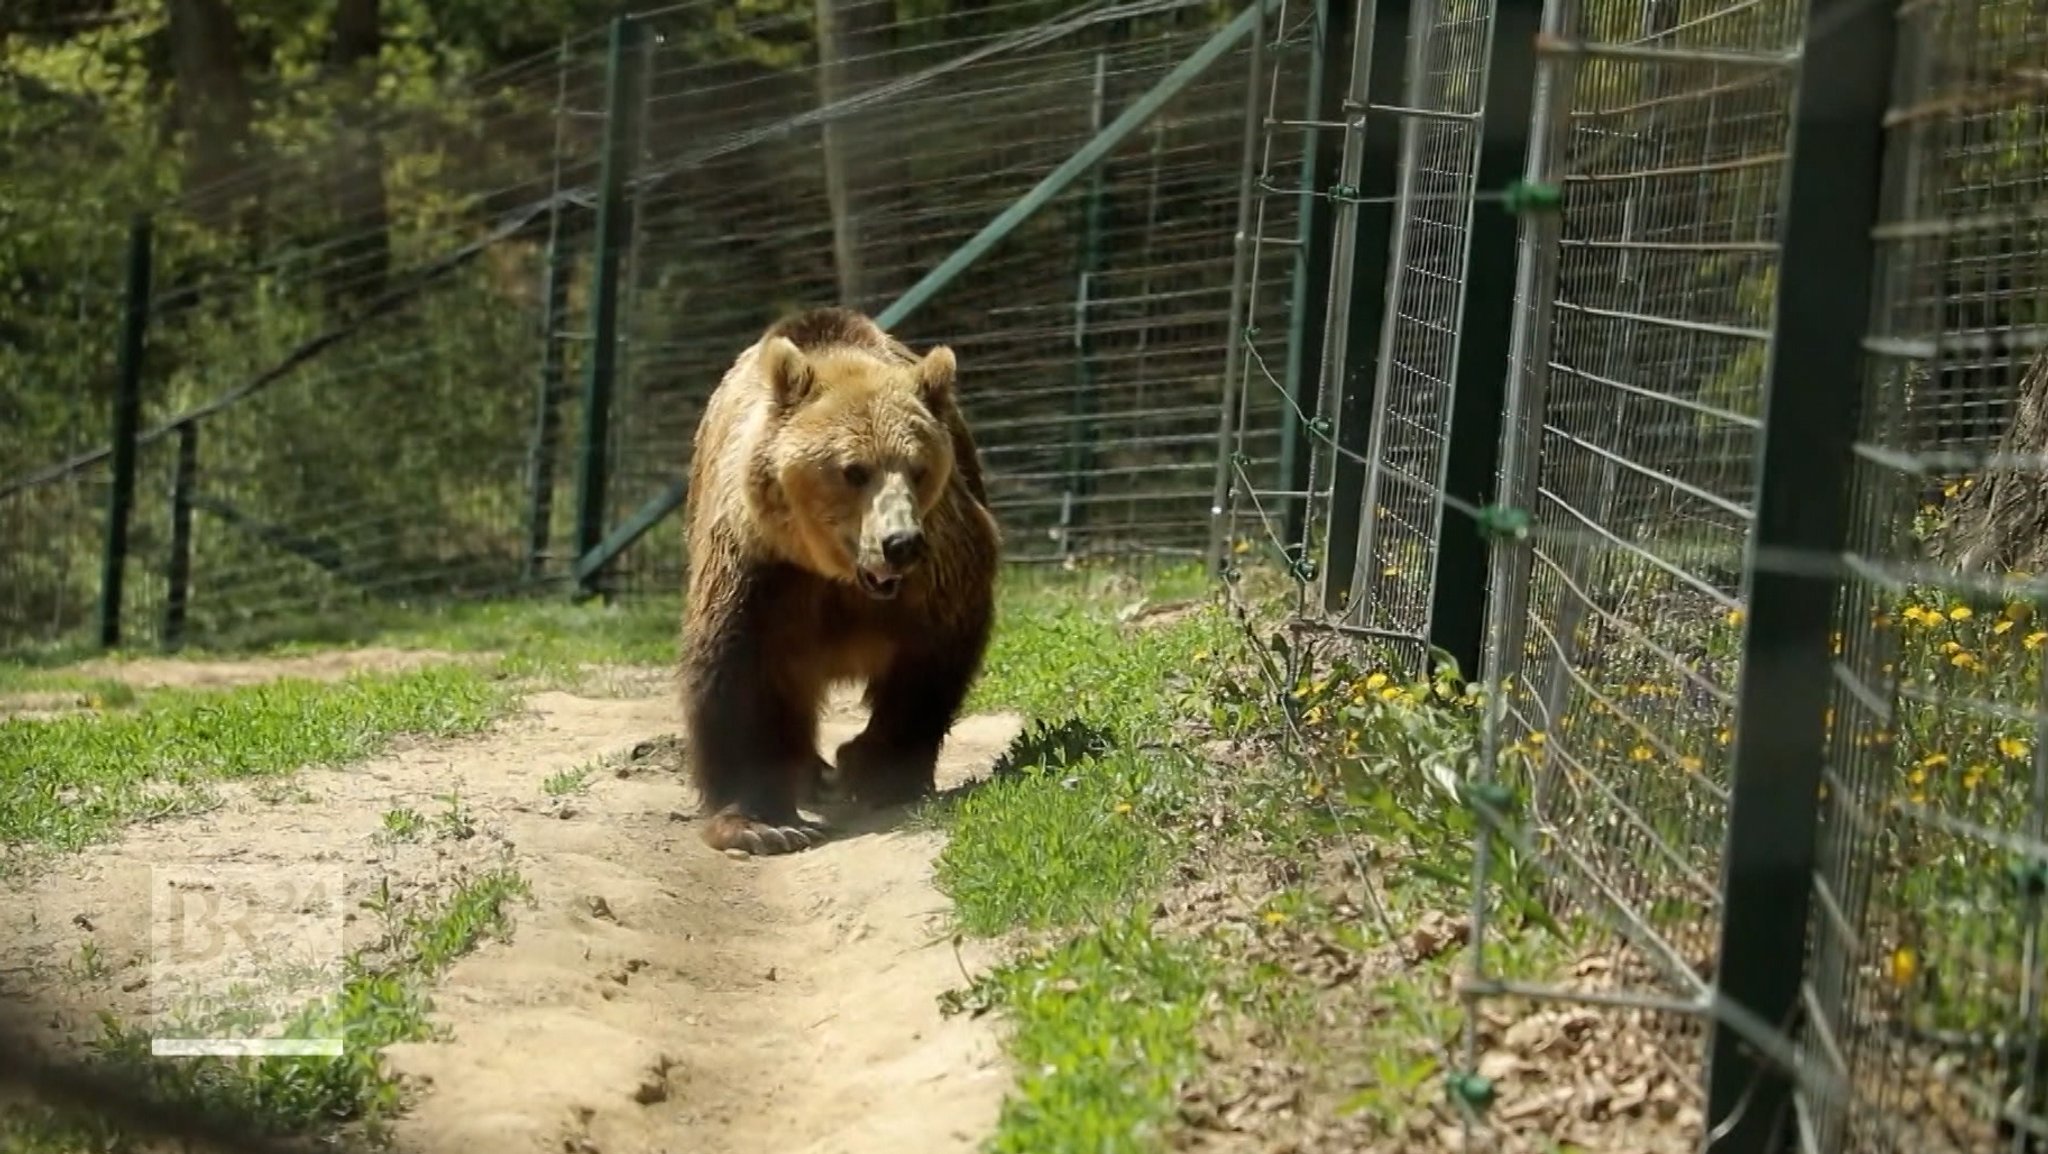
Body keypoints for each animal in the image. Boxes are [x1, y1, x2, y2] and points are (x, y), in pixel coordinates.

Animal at [679, 307, 999, 856]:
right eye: (854, 470)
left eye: (918, 468)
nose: (900, 542)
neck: (838, 575)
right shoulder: (761, 568)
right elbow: (734, 669)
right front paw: (762, 823)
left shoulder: (940, 564)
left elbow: (931, 659)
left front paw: (876, 771)